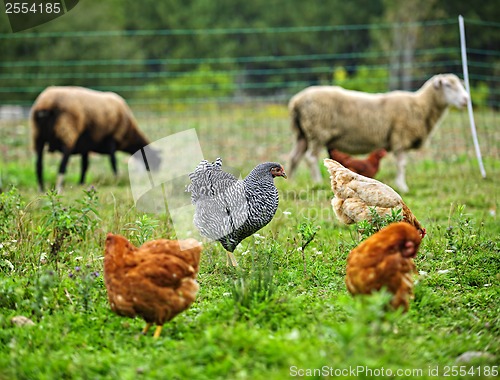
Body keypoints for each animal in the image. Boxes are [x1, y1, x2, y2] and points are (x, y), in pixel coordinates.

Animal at [30, 85, 160, 190]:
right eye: (157, 160)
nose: (156, 175)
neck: (129, 133)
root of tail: (47, 104)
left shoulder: (85, 146)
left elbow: (85, 166)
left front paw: (81, 183)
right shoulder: (111, 139)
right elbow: (113, 161)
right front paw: (117, 179)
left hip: (38, 136)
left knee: (38, 165)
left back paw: (41, 189)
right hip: (67, 133)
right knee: (62, 166)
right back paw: (58, 188)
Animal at [288, 73, 470, 193]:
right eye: (448, 85)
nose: (466, 100)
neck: (421, 105)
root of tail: (296, 101)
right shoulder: (400, 137)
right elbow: (402, 164)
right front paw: (402, 186)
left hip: (302, 135)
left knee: (295, 158)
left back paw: (290, 181)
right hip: (317, 132)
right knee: (311, 158)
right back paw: (317, 182)